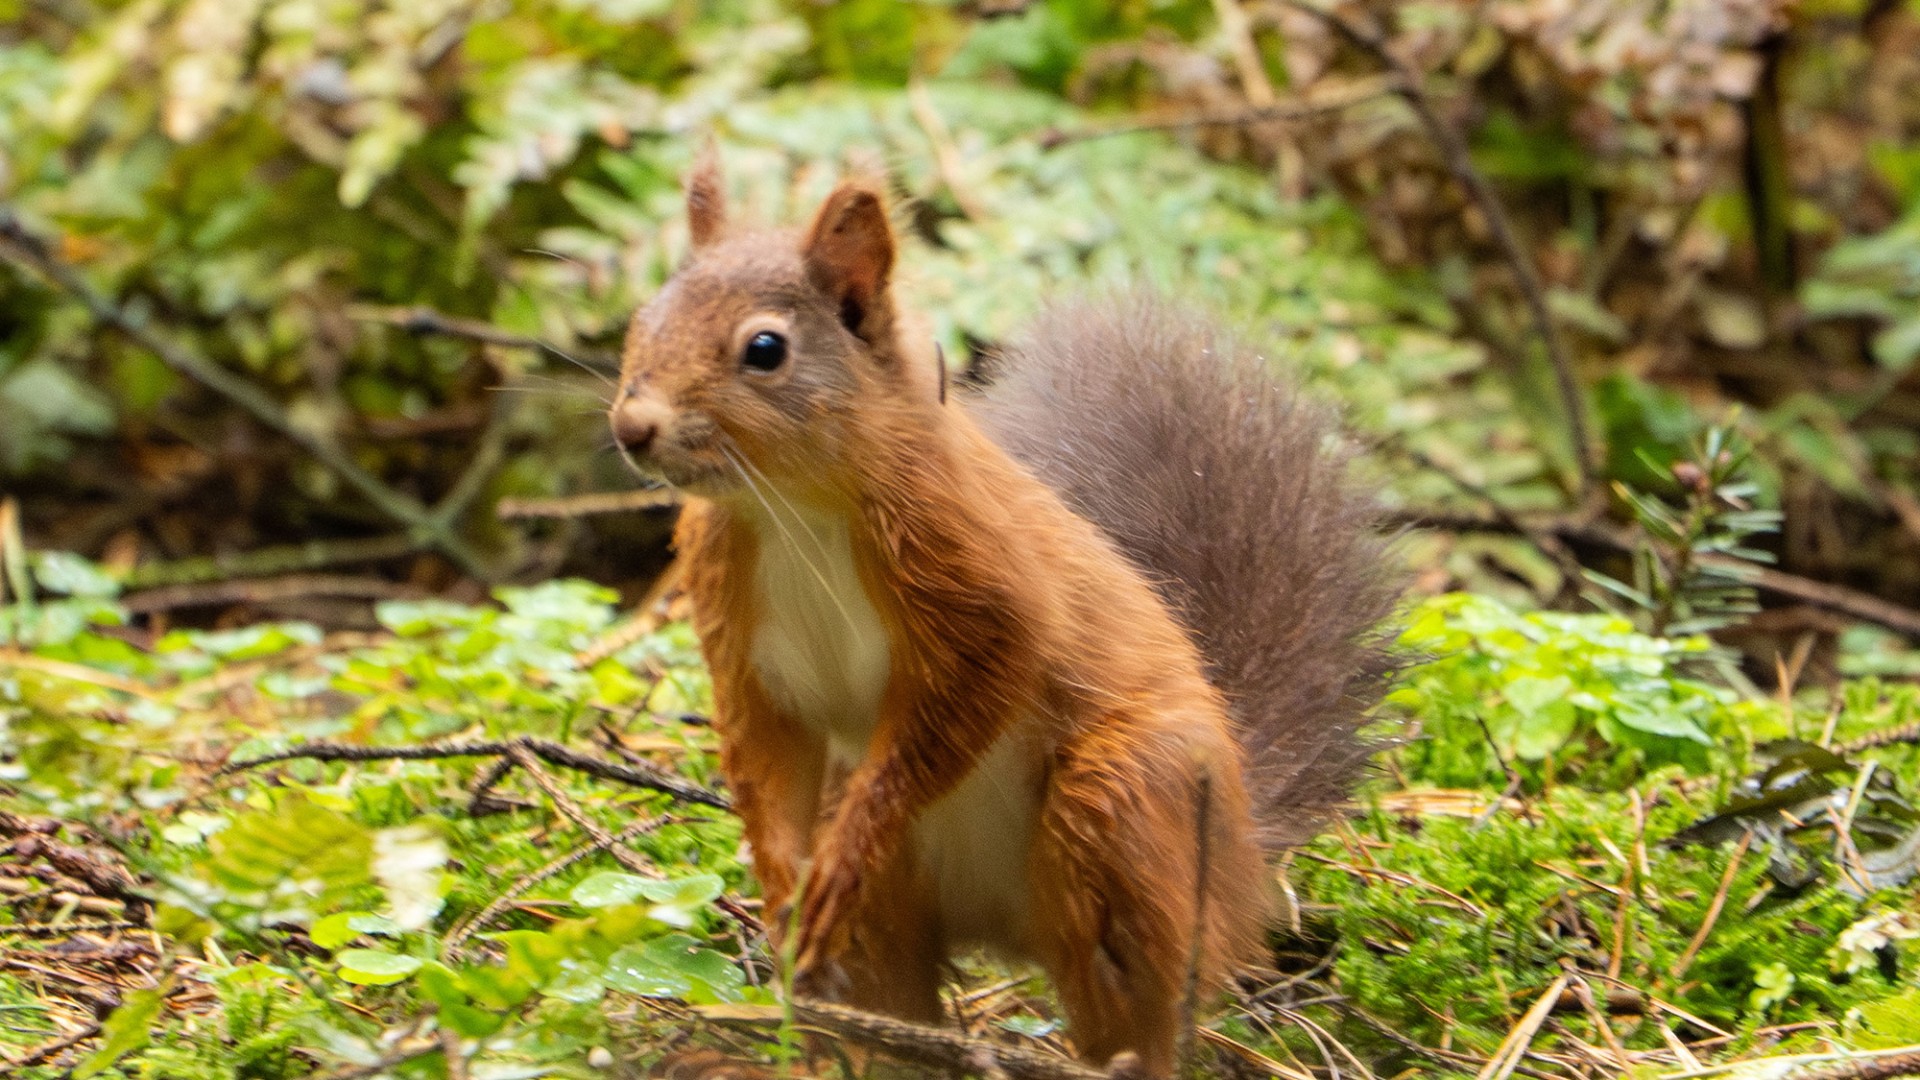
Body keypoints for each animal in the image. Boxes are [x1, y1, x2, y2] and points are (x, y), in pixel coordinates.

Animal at [607, 154, 1402, 1076]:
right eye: (643, 318)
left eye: (765, 349)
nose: (633, 426)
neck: (792, 506)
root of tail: (1240, 859)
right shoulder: (738, 629)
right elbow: (764, 750)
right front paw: (783, 886)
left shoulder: (978, 584)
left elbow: (964, 702)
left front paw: (841, 854)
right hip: (898, 899)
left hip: (1127, 801)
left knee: (1139, 1002)